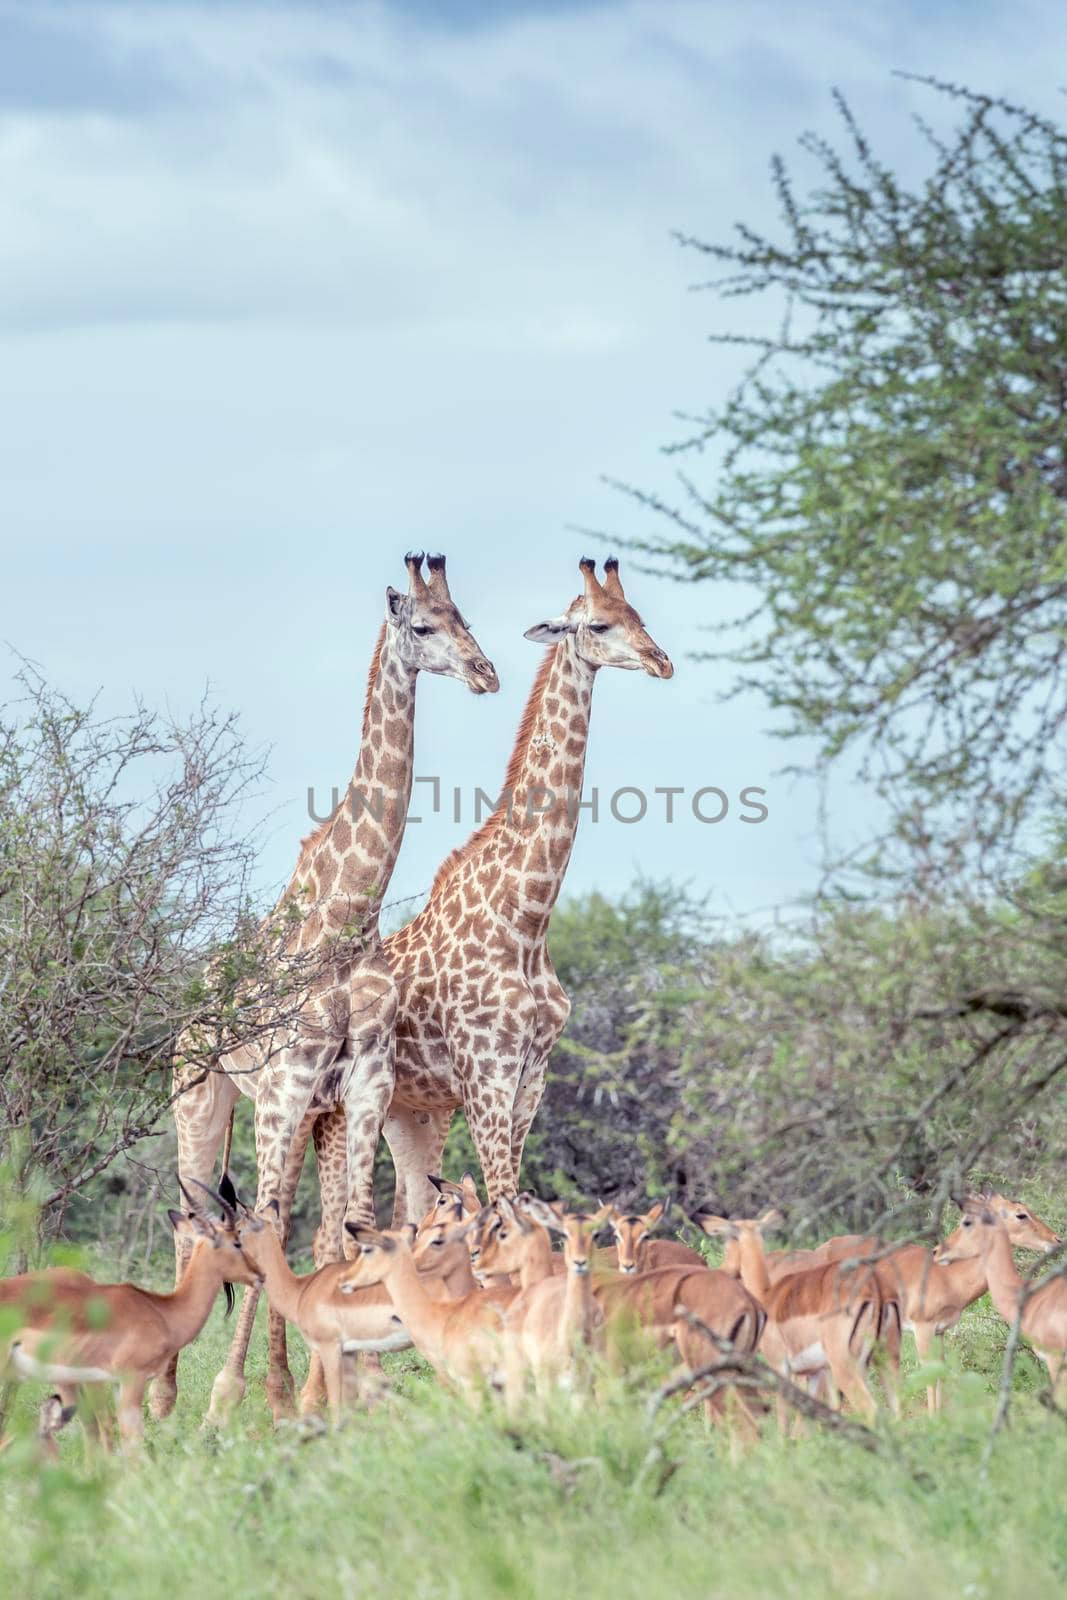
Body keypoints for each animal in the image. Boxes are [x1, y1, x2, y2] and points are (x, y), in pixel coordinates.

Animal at [151, 556, 499, 1420]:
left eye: (465, 619)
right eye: (422, 626)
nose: (485, 673)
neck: (347, 920)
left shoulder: (361, 1088)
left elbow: (350, 1224)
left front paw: (321, 1392)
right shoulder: (281, 1090)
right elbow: (263, 1224)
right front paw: (235, 1396)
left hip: (313, 1117)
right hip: (202, 1098)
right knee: (193, 1217)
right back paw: (170, 1396)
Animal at [379, 556, 671, 1216]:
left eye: (639, 616)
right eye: (598, 624)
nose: (661, 661)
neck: (527, 916)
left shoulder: (531, 1075)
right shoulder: (486, 1072)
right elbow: (503, 1203)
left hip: (410, 1107)